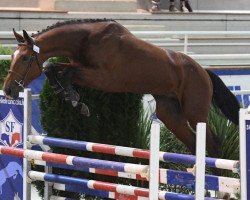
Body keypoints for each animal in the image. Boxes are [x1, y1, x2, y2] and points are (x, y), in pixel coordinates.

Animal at [2, 18, 240, 157]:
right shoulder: (78, 66)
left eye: (24, 58)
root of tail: (204, 72)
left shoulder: (103, 78)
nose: (8, 91)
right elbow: (52, 67)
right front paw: (69, 95)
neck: (85, 39)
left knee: (213, 144)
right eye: (12, 57)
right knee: (193, 143)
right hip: (170, 113)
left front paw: (75, 100)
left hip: (195, 112)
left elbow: (66, 73)